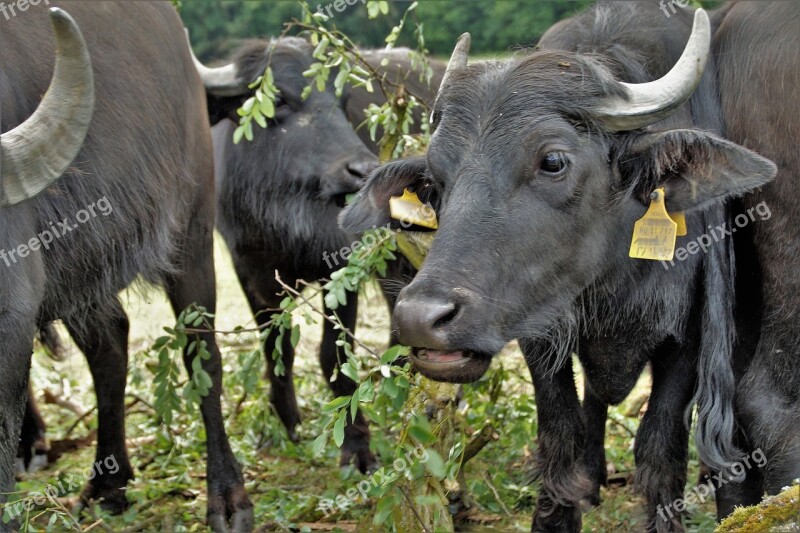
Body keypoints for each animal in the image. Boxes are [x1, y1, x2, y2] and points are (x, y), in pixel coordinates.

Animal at [1, 3, 252, 528]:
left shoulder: (12, 308)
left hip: (192, 229)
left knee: (203, 356)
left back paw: (228, 497)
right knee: (111, 344)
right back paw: (108, 482)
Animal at [190, 36, 444, 470]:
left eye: (341, 102)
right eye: (280, 99)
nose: (362, 169)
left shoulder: (342, 267)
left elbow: (332, 354)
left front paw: (357, 444)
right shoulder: (250, 271)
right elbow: (277, 347)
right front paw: (286, 421)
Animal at [346, 2, 800, 528]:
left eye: (553, 161)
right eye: (435, 179)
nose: (421, 318)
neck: (612, 277)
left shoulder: (688, 339)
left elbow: (659, 451)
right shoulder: (537, 330)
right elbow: (561, 439)